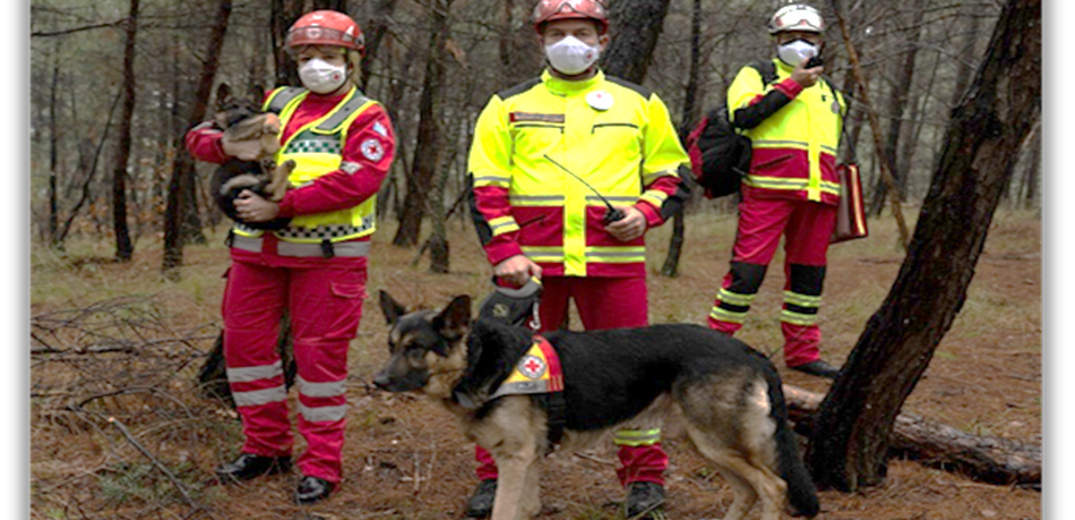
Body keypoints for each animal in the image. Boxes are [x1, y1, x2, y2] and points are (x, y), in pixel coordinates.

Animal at [209, 82, 296, 229]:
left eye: (249, 108)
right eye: (233, 107)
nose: (244, 115)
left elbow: (263, 124)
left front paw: (270, 138)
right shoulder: (234, 131)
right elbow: (260, 118)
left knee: (275, 193)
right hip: (239, 182)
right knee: (271, 190)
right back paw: (283, 167)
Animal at [374, 292, 817, 520]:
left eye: (416, 348)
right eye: (391, 346)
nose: (376, 382)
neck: (481, 359)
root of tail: (750, 351)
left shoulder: (515, 461)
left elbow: (504, 512)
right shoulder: (526, 461)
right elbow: (527, 509)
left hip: (716, 443)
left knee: (773, 488)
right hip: (706, 444)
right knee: (747, 491)